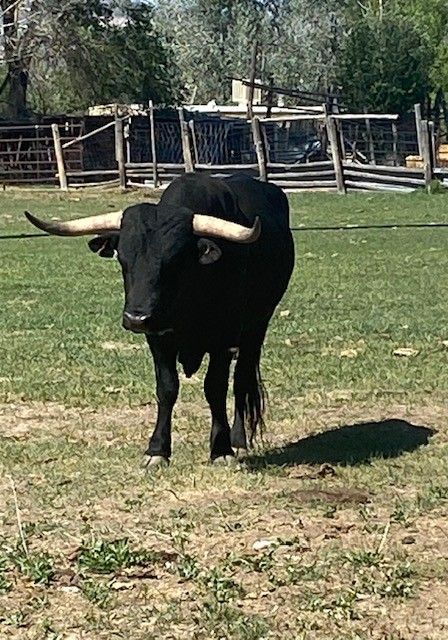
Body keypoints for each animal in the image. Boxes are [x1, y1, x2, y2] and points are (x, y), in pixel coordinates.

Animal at [24, 173, 294, 468]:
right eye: (123, 259)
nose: (136, 318)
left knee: (241, 380)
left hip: (257, 327)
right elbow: (167, 389)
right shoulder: (158, 338)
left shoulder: (223, 338)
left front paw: (221, 449)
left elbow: (215, 387)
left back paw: (238, 440)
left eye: (175, 261)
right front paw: (157, 450)